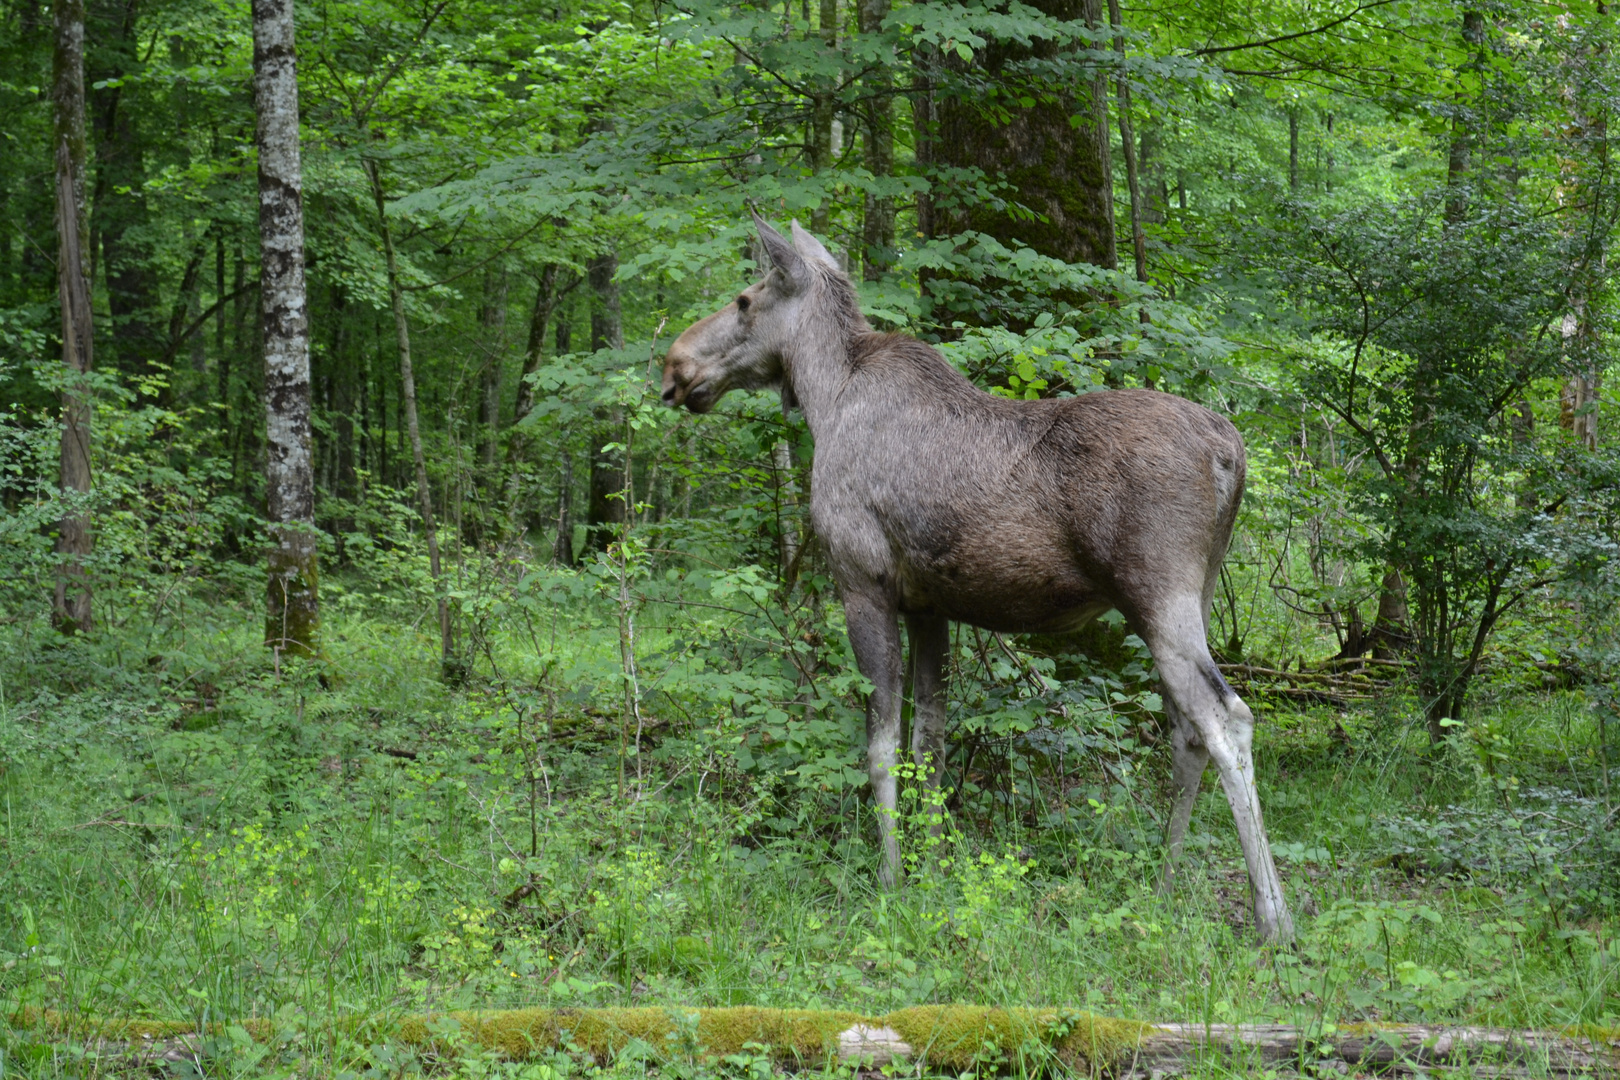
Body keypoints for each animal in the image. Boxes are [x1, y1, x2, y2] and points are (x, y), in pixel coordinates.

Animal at [657, 210, 1289, 939]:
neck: (823, 395)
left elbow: (881, 745)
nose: (674, 364)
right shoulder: (929, 606)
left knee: (1227, 720)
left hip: (1158, 593)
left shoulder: (863, 583)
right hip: (1192, 595)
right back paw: (1161, 883)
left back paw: (1273, 915)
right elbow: (930, 742)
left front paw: (890, 881)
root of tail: (1231, 451)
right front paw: (932, 871)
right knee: (1186, 728)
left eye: (744, 299)